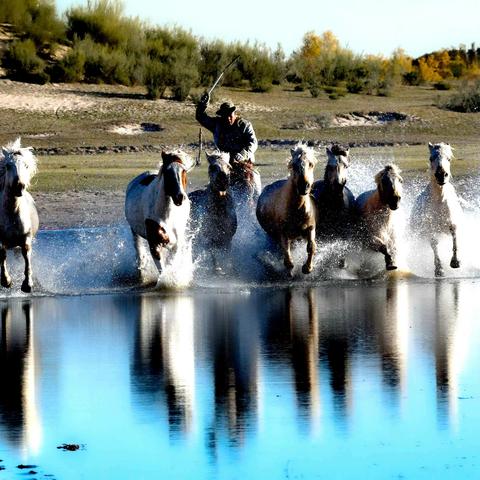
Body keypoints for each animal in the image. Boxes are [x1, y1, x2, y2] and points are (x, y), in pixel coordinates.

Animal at [124, 150, 192, 278]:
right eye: (167, 172)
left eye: (184, 170)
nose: (179, 197)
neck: (167, 216)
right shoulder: (154, 244)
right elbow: (162, 269)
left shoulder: (175, 244)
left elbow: (171, 263)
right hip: (134, 232)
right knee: (139, 252)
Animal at [410, 142, 464, 276]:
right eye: (431, 158)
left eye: (449, 159)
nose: (441, 175)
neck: (440, 201)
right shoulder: (429, 228)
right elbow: (434, 243)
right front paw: (439, 269)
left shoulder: (452, 222)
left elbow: (454, 235)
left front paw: (455, 262)